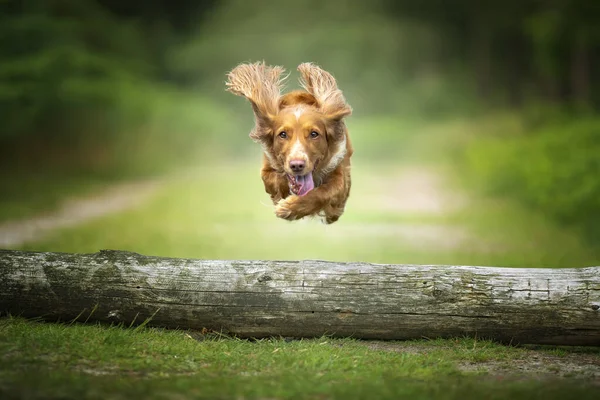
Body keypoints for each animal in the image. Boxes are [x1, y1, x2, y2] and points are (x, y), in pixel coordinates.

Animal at [227, 62, 354, 225]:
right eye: (283, 134)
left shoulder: (340, 177)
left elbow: (323, 193)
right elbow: (277, 180)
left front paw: (289, 208)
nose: (297, 165)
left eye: (314, 134)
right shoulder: (267, 169)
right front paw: (288, 194)